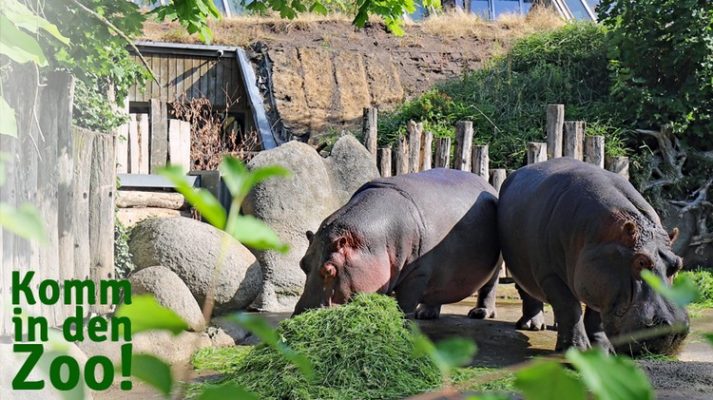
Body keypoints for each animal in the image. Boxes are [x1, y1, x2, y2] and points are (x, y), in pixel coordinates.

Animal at [292, 166, 498, 318]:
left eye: (329, 270)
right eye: (302, 264)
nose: (299, 315)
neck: (373, 243)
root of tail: (488, 185)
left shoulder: (418, 274)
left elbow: (405, 305)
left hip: (495, 267)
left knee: (489, 288)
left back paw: (480, 313)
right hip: (445, 271)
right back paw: (426, 314)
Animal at [498, 157, 688, 354]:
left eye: (678, 264)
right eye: (641, 261)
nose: (673, 332)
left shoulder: (599, 281)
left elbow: (596, 317)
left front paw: (604, 350)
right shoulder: (550, 275)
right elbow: (569, 307)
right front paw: (576, 350)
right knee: (528, 292)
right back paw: (531, 326)